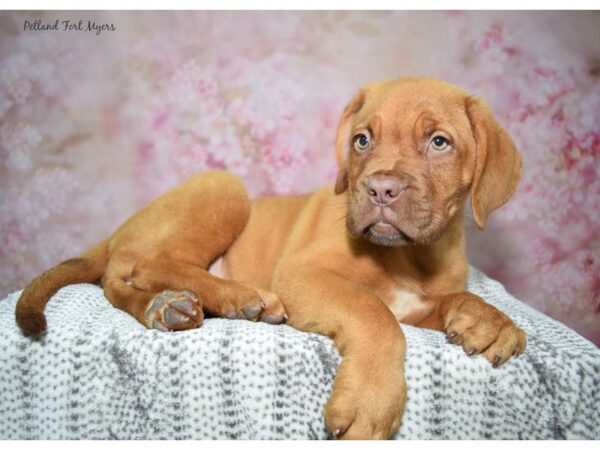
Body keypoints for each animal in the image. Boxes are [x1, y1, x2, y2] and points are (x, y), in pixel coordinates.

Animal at [15, 77, 524, 440]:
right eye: (362, 140)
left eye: (439, 142)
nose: (380, 190)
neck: (409, 258)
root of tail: (115, 233)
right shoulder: (302, 274)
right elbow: (374, 313)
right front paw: (370, 403)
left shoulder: (418, 304)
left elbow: (447, 300)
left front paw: (490, 321)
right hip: (223, 186)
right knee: (145, 267)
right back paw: (233, 296)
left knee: (121, 284)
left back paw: (167, 308)